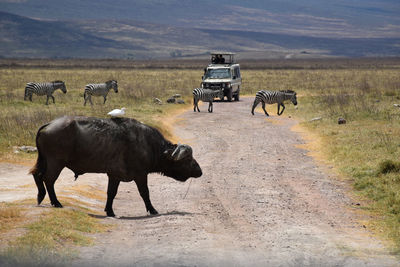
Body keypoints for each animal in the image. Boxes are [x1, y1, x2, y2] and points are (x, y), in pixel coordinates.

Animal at [30, 116, 203, 217]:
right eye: (188, 159)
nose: (200, 171)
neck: (148, 145)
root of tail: (49, 124)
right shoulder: (141, 175)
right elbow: (145, 193)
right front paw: (152, 210)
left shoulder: (114, 176)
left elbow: (111, 193)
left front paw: (110, 211)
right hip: (56, 163)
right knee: (48, 180)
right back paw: (56, 202)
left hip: (46, 161)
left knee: (37, 175)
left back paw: (40, 197)